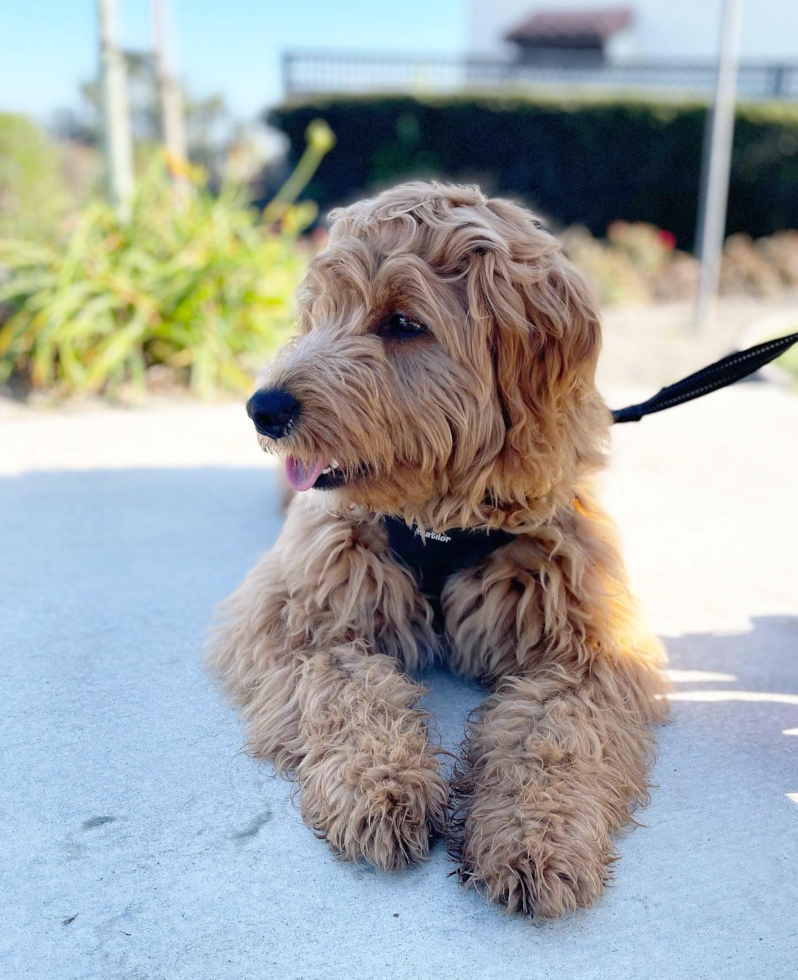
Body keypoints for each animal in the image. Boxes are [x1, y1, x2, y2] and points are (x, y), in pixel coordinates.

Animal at [209, 178, 672, 920]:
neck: (440, 521)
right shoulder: (295, 615)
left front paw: (535, 835)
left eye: (403, 323)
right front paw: (380, 785)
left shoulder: (592, 646)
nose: (264, 409)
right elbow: (345, 689)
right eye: (321, 310)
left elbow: (556, 733)